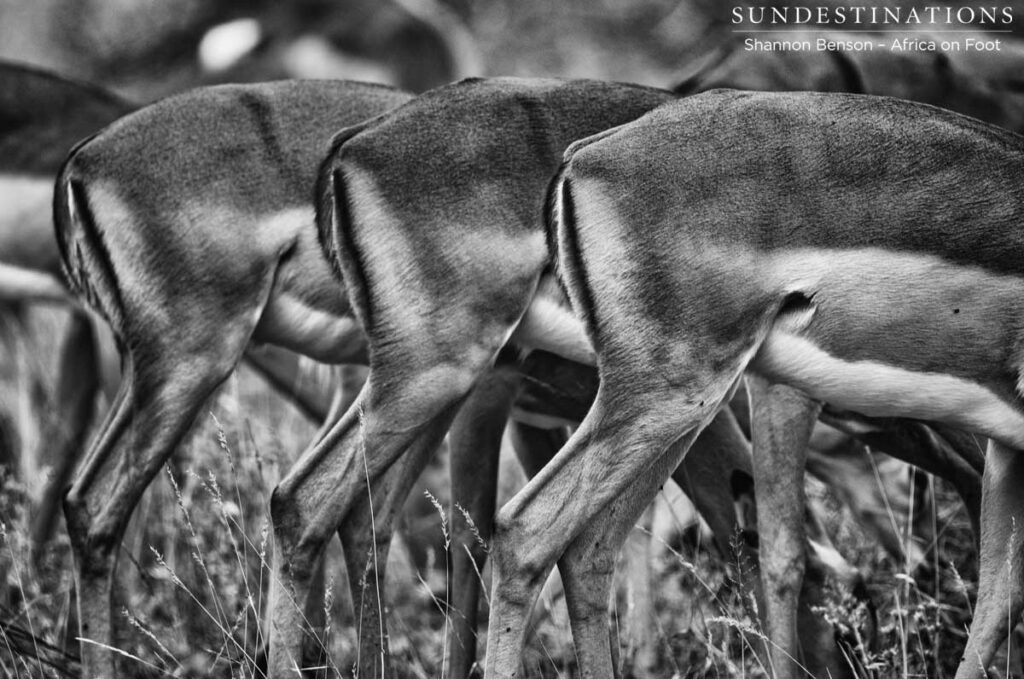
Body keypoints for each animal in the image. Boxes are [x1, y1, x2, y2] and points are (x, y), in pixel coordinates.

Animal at [504, 89, 1024, 679]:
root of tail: (583, 157)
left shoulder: (1007, 451)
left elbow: (1000, 599)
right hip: (673, 395)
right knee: (526, 529)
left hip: (684, 415)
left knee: (590, 549)